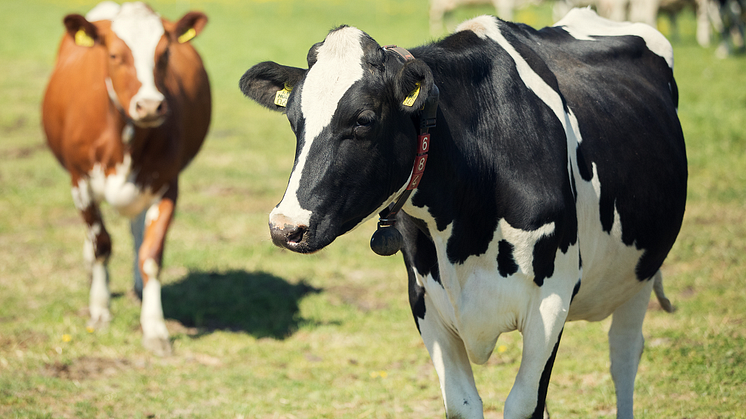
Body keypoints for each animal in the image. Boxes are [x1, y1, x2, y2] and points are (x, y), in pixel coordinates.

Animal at [42, 1, 211, 356]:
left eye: (165, 54)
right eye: (114, 55)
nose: (149, 105)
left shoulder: (167, 185)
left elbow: (151, 255)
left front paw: (155, 327)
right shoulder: (80, 182)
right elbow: (101, 245)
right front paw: (100, 309)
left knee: (136, 232)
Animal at [240, 8, 684, 418]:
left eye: (363, 120)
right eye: (294, 120)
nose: (285, 227)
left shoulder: (552, 300)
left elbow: (524, 405)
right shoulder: (426, 300)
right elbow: (463, 403)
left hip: (639, 274)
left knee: (624, 356)